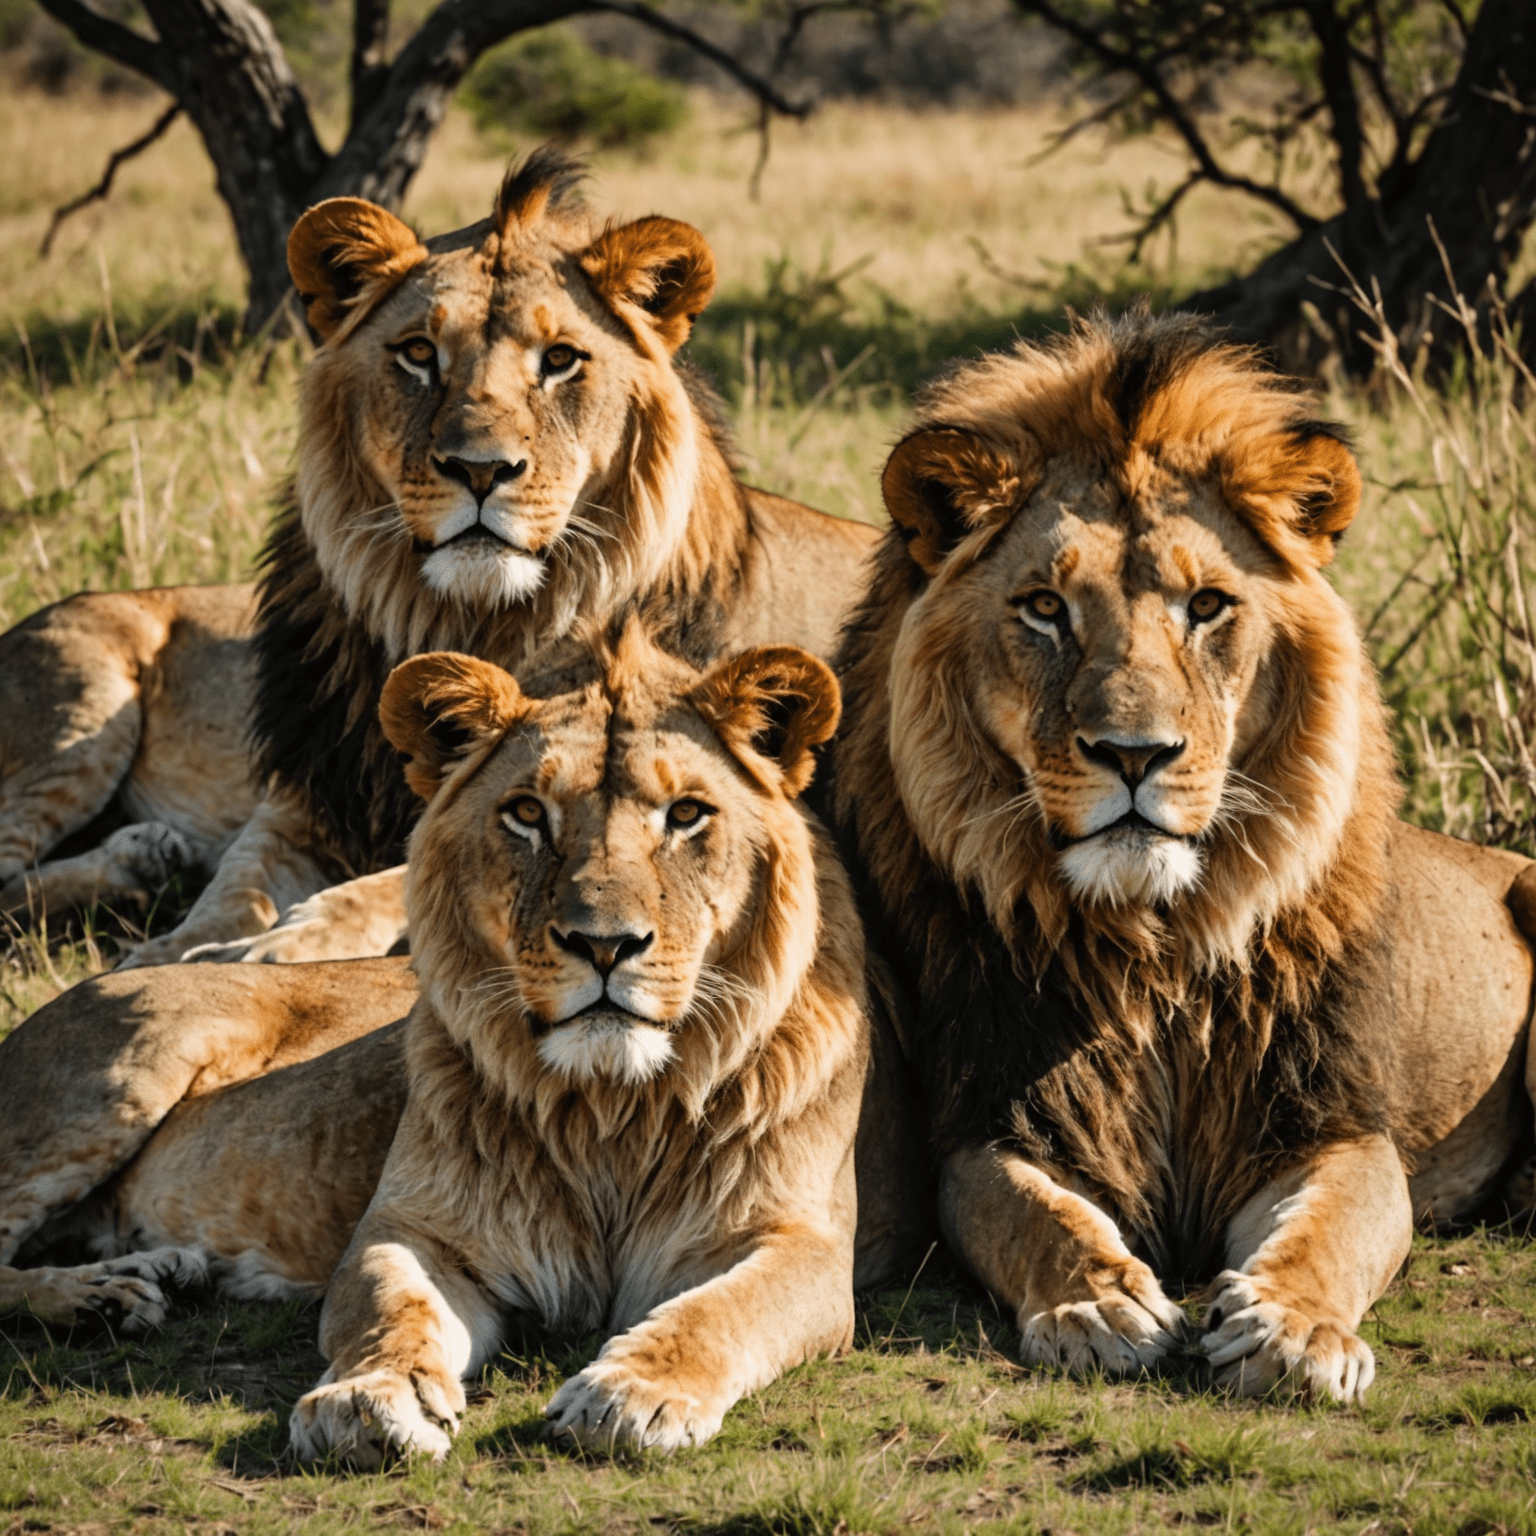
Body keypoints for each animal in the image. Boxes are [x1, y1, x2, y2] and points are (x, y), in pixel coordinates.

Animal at [0, 620, 921, 1449]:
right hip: (123, 1074)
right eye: (527, 814)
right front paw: (368, 1399)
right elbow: (391, 1308)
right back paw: (104, 1297)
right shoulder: (417, 1229)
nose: (604, 945)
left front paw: (633, 1394)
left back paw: (153, 1270)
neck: (614, 1109)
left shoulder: (802, 1244)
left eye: (688, 814)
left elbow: (715, 1312)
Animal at [829, 308, 1536, 1406]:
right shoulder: (1000, 1117)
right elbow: (1030, 1215)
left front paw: (1293, 1329)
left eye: (1206, 606)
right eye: (1044, 608)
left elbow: (1329, 1230)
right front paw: (1096, 1306)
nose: (1135, 755)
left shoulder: (1331, 1119)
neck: (1155, 946)